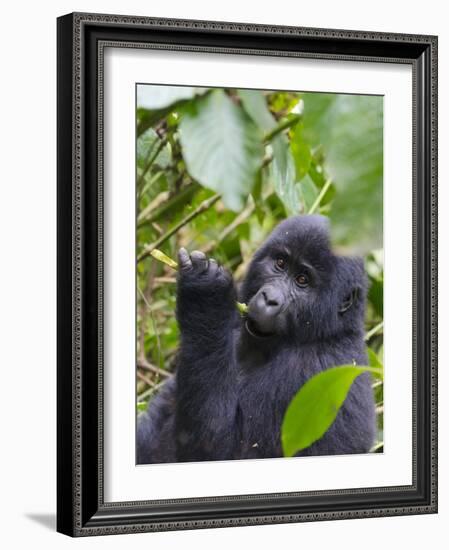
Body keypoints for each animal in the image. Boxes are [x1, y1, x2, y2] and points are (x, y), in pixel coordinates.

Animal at [136, 216, 374, 466]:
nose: (269, 299)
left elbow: (217, 450)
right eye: (280, 263)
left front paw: (204, 295)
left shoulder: (313, 370)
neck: (328, 331)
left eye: (302, 280)